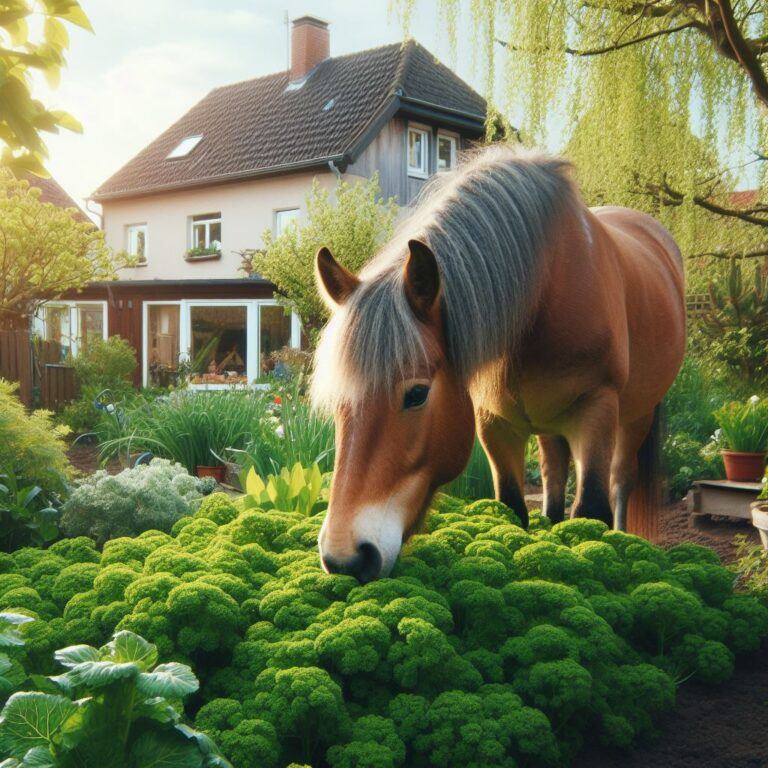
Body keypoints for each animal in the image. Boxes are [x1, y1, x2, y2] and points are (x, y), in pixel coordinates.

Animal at [312, 146, 684, 584]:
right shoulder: (495, 423)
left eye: (417, 394)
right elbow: (511, 509)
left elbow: (591, 511)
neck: (545, 289)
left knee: (621, 481)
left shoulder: (598, 409)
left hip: (635, 416)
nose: (345, 558)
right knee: (553, 478)